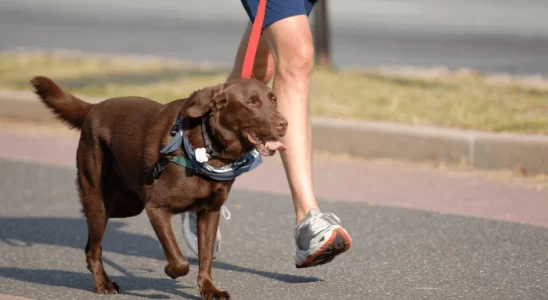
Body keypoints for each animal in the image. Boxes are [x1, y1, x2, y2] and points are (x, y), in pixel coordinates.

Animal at [31, 76, 286, 298]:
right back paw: (103, 284)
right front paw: (169, 271)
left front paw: (209, 289)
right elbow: (180, 260)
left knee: (91, 246)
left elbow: (205, 258)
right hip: (99, 200)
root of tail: (94, 108)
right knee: (93, 248)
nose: (284, 123)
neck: (209, 148)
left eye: (273, 100)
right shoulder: (156, 208)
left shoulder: (209, 212)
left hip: (126, 205)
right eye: (252, 102)